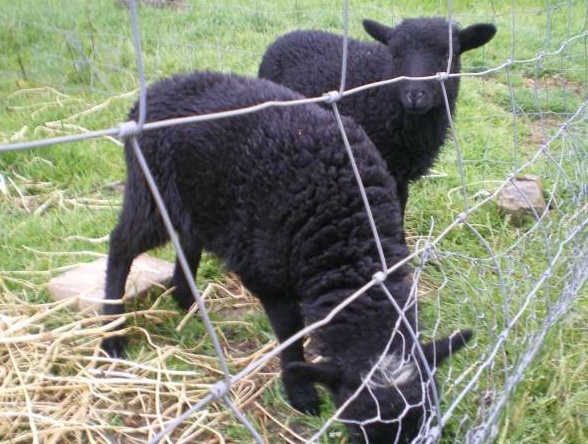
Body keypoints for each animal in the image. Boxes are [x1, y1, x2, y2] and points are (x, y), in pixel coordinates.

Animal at [101, 71, 470, 442]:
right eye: (358, 430)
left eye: (427, 420)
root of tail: (160, 88)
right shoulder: (266, 276)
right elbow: (290, 333)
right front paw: (300, 393)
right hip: (151, 190)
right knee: (120, 246)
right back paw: (112, 336)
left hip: (192, 199)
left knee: (187, 239)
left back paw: (186, 299)